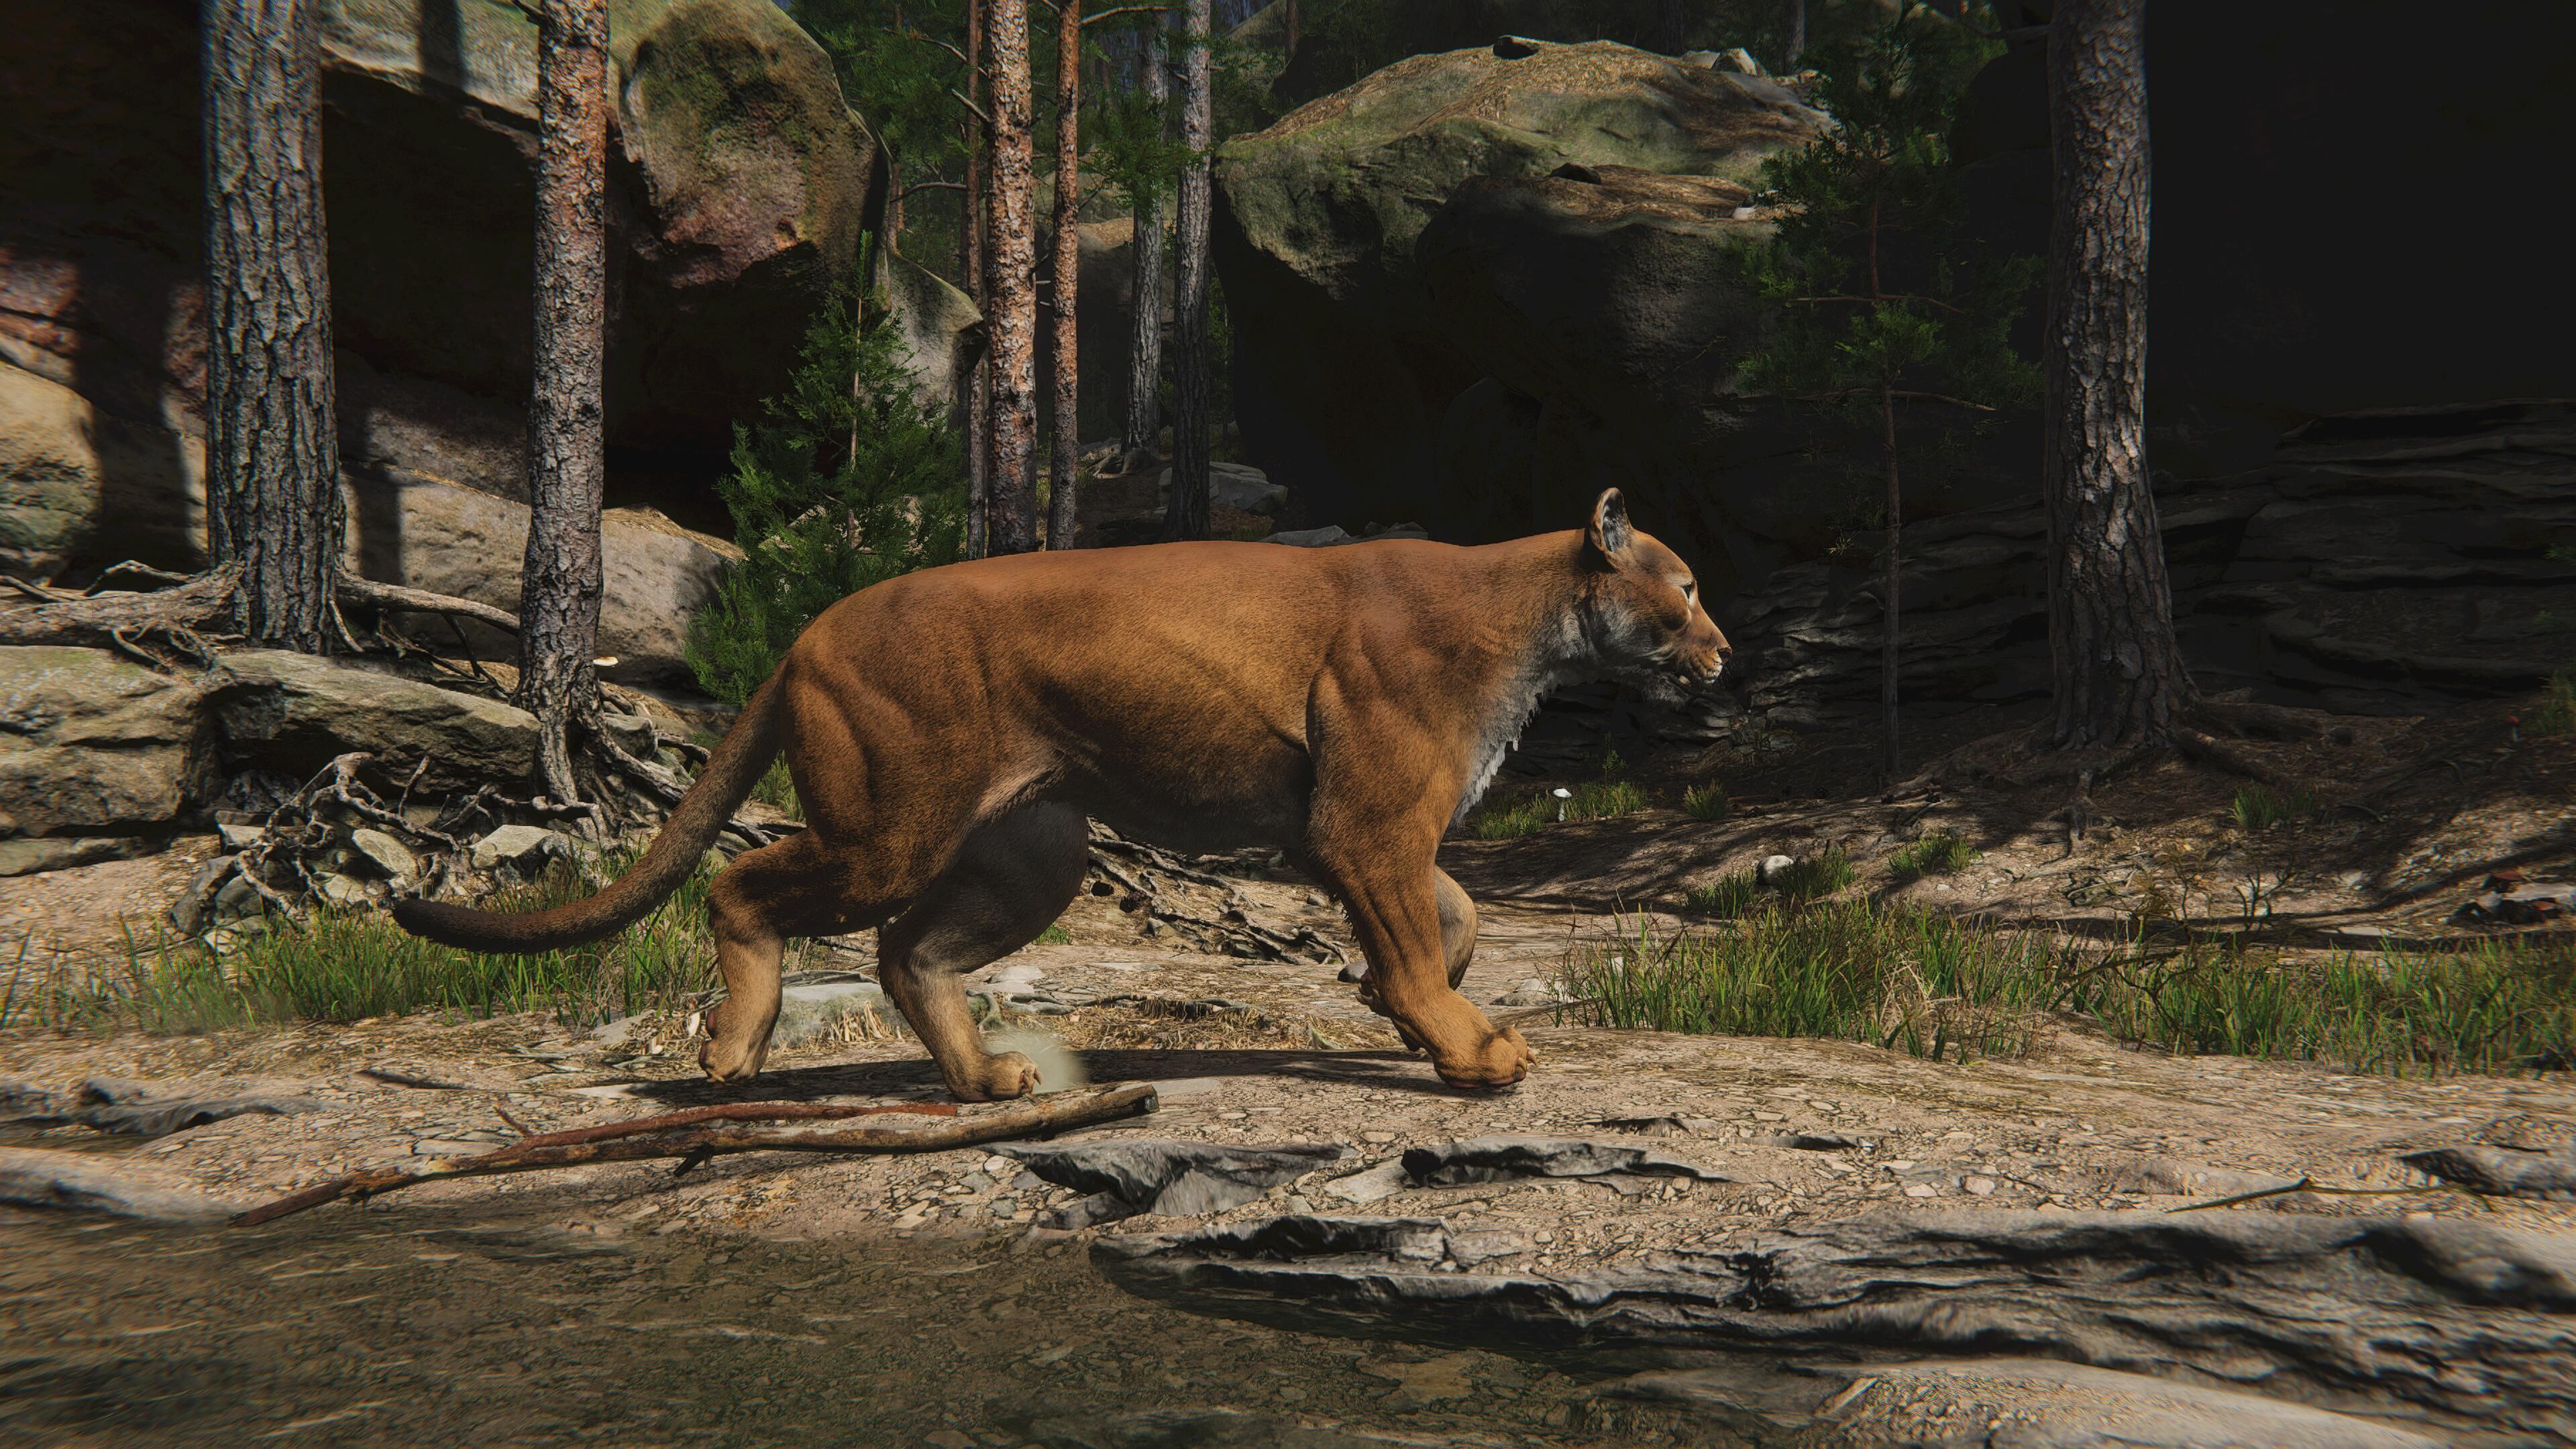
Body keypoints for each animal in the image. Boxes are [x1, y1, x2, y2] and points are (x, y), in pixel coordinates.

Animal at [396, 488, 1731, 1101]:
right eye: (1685, 586)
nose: (1723, 651)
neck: (1534, 618)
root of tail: (807, 629)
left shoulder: (1346, 832)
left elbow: (1455, 915)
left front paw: (1407, 1007)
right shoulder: (1366, 826)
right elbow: (1418, 931)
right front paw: (1465, 1047)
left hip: (1031, 851)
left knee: (909, 954)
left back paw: (985, 1080)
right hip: (892, 828)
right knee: (743, 887)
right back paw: (735, 1050)